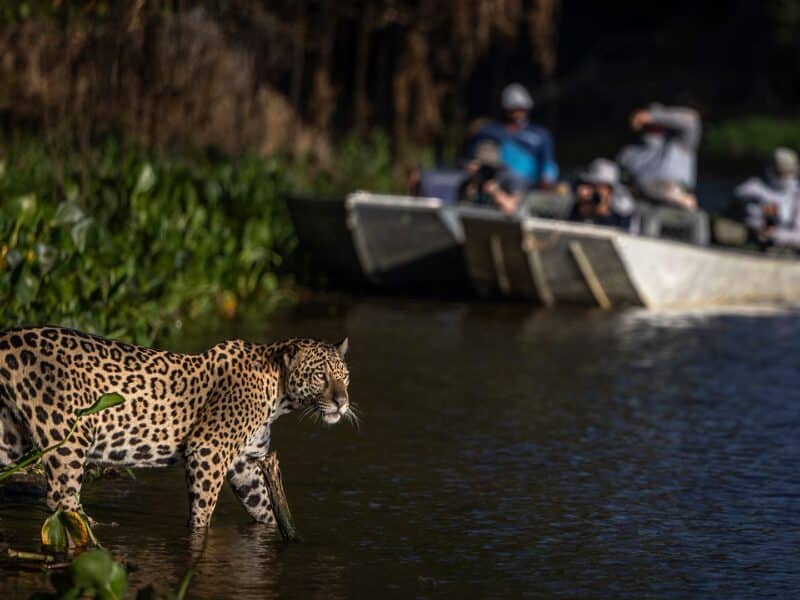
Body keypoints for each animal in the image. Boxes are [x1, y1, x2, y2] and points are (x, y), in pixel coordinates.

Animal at [0, 327, 352, 529]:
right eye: (320, 376)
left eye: (345, 376)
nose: (342, 402)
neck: (277, 392)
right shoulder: (208, 449)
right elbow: (203, 511)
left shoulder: (246, 463)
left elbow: (263, 505)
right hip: (68, 435)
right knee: (61, 498)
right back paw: (93, 530)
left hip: (9, 436)